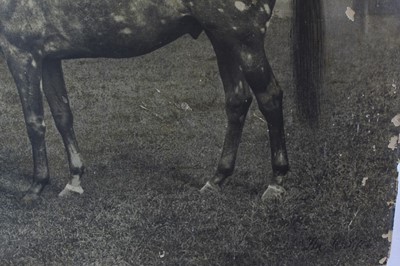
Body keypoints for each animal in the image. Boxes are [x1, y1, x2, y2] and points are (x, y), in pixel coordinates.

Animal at [0, 0, 324, 202]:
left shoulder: (20, 51)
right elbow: (62, 115)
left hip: (245, 40)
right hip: (223, 38)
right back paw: (216, 179)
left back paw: (276, 183)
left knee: (270, 98)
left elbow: (34, 123)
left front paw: (36, 187)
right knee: (237, 101)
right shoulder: (48, 57)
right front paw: (74, 181)